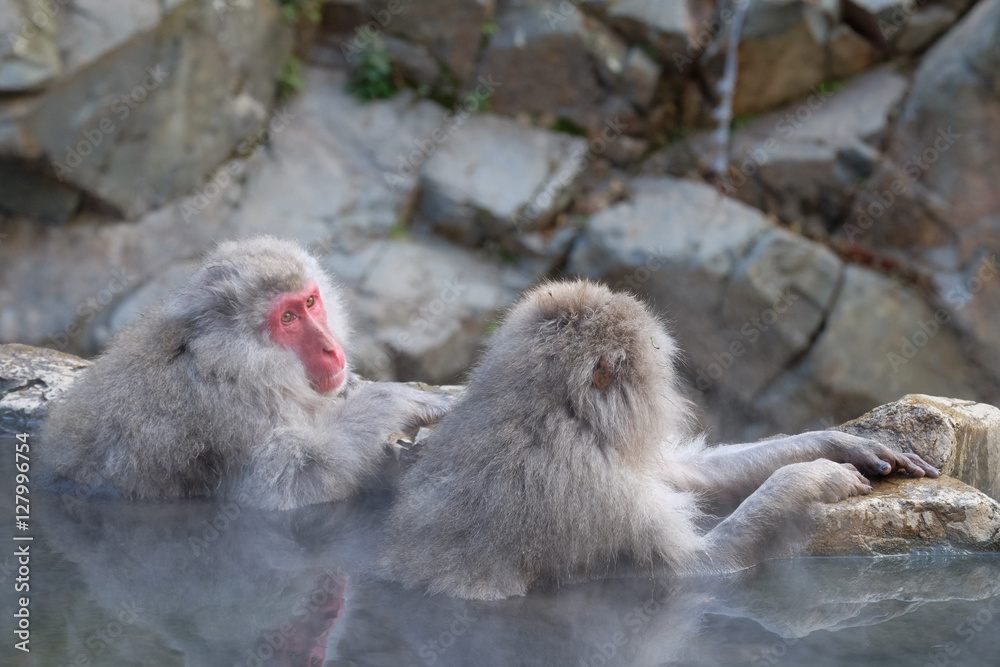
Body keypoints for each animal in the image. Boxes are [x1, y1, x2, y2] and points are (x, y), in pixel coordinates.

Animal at [42, 236, 450, 512]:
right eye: (288, 318)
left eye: (310, 302)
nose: (331, 349)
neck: (230, 359)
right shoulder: (232, 407)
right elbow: (288, 486)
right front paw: (391, 400)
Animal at [380, 280, 936, 600]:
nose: (676, 396)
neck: (559, 415)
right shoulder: (593, 492)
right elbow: (695, 569)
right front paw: (811, 478)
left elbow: (691, 476)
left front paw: (843, 443)